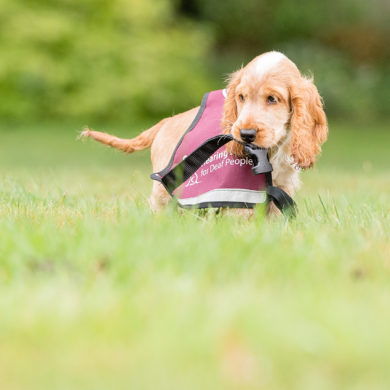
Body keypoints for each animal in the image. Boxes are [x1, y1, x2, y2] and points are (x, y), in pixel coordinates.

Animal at [84, 50, 328, 215]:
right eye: (241, 97)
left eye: (272, 99)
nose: (246, 134)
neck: (269, 153)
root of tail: (166, 122)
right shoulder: (239, 194)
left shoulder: (282, 186)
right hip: (164, 188)